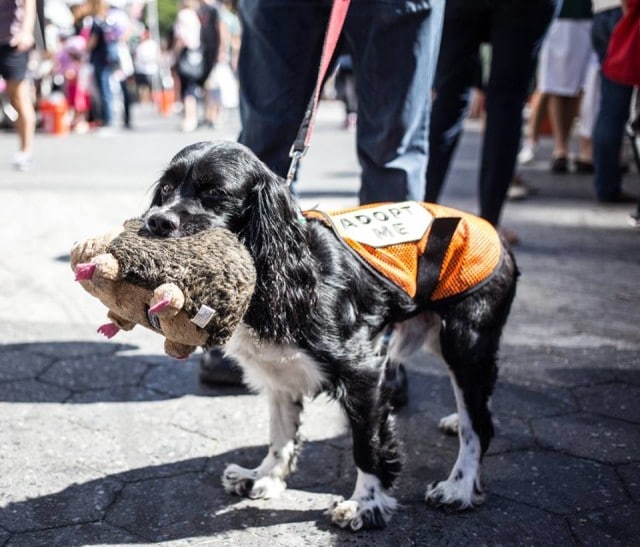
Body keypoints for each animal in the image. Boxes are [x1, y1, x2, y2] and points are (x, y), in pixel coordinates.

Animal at [142, 140, 516, 532]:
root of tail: (494, 231)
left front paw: (365, 504)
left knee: (479, 426)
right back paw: (457, 424)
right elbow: (280, 434)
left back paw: (458, 487)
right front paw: (264, 477)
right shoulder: (278, 372)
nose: (157, 221)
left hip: (465, 341)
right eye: (165, 188)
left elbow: (367, 445)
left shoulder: (364, 374)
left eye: (215, 193)